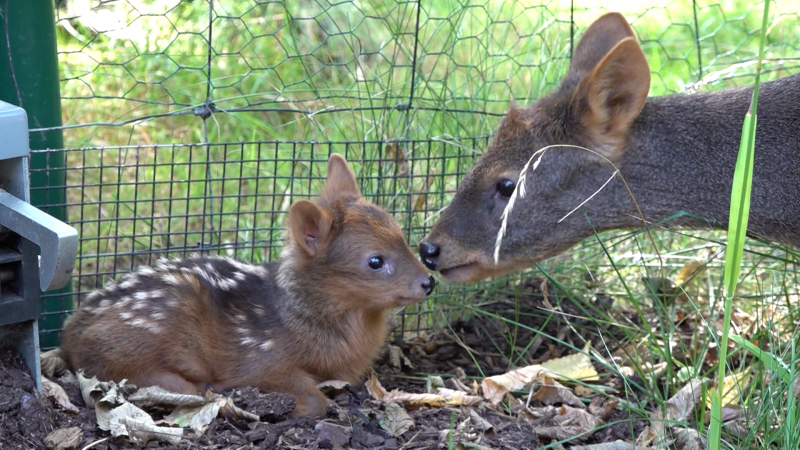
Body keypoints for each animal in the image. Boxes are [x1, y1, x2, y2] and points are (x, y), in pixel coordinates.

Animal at [61, 153, 438, 416]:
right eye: (375, 261)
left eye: (402, 235)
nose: (428, 281)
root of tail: (69, 331)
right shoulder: (260, 360)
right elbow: (312, 398)